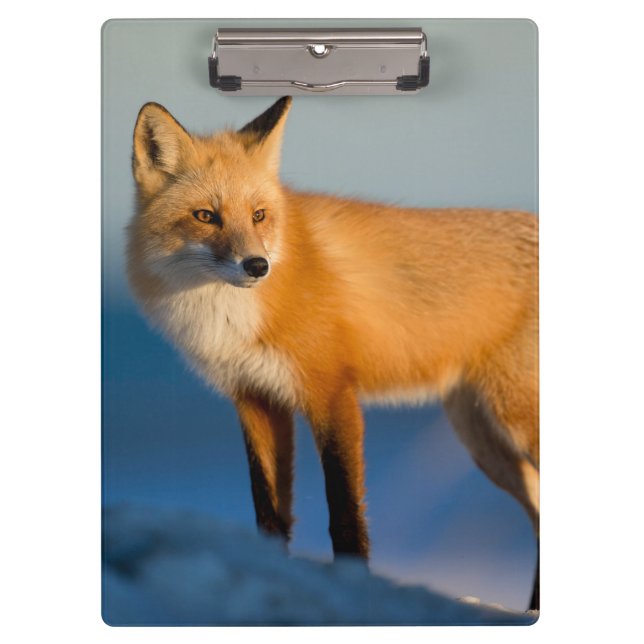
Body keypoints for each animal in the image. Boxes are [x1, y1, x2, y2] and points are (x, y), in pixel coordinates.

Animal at [127, 96, 539, 611]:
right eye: (206, 216)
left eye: (259, 215)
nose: (257, 266)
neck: (231, 316)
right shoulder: (256, 399)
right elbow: (269, 511)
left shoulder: (332, 393)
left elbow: (344, 513)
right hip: (484, 440)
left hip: (513, 420)